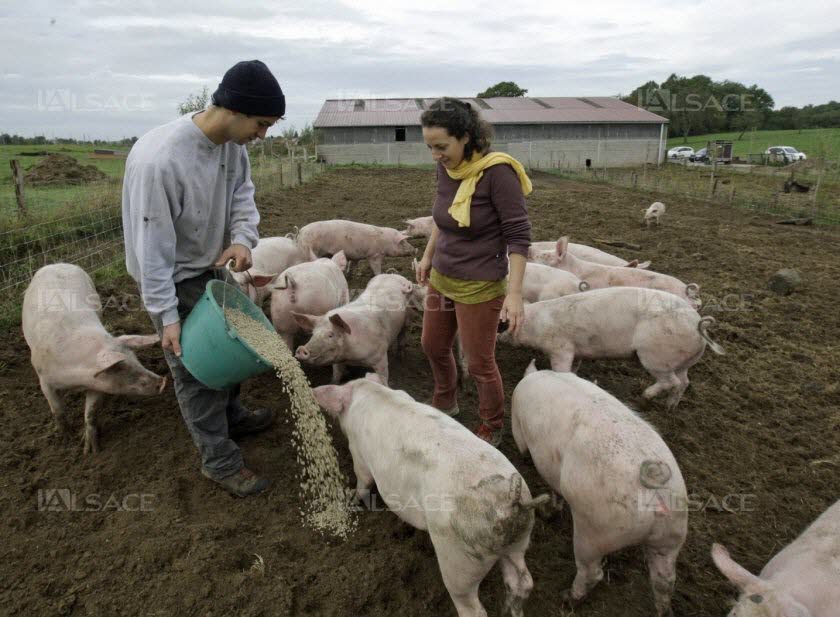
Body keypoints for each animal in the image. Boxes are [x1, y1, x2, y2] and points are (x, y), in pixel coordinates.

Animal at [20, 264, 166, 452]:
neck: (75, 378)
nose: (163, 381)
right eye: (120, 368)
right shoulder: (44, 380)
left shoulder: (97, 382)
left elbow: (91, 412)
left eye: (136, 359)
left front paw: (91, 450)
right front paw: (66, 440)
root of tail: (57, 264)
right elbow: (57, 410)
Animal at [512, 358, 688, 612]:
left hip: (594, 531)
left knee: (592, 572)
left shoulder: (521, 430)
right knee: (665, 581)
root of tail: (653, 487)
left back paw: (567, 597)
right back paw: (664, 609)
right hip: (672, 535)